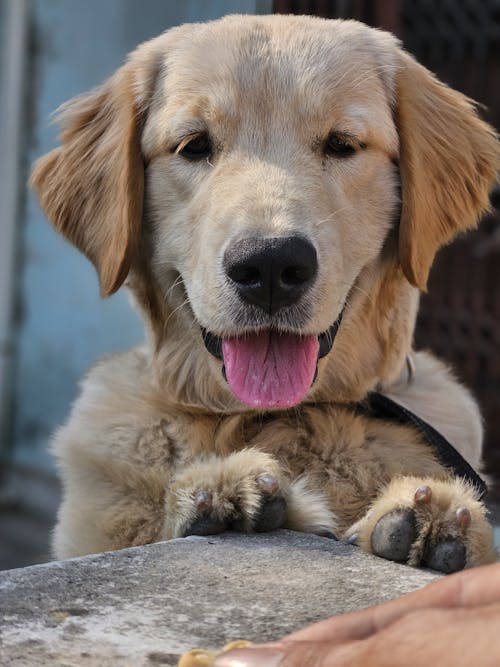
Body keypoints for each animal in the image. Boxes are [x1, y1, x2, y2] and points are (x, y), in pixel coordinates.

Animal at [31, 13, 496, 576]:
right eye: (193, 145)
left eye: (342, 144)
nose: (270, 265)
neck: (275, 416)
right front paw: (220, 493)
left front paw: (435, 518)